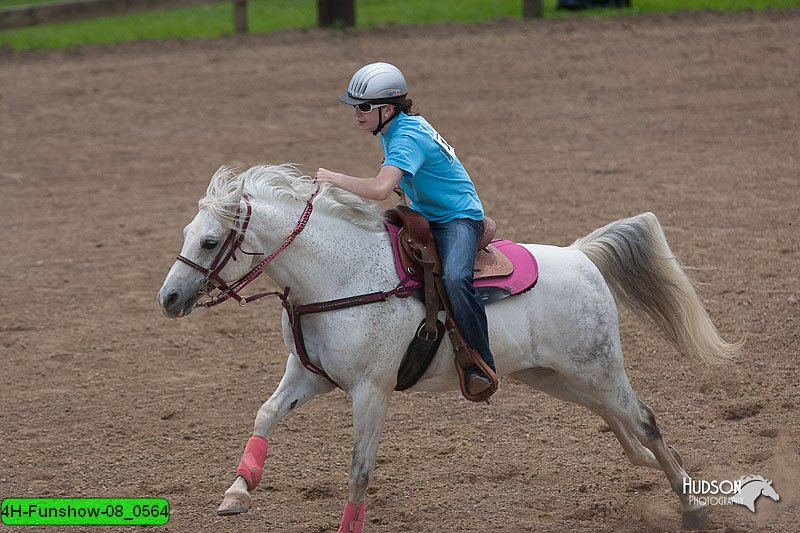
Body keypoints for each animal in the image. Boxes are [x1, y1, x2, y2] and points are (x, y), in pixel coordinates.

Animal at [159, 164, 740, 528]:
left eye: (210, 240)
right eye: (187, 231)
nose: (168, 298)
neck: (338, 276)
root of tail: (580, 255)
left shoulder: (371, 390)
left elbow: (359, 470)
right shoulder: (309, 374)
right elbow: (266, 413)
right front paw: (237, 492)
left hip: (596, 364)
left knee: (643, 416)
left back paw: (693, 508)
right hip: (552, 375)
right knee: (616, 418)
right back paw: (661, 468)